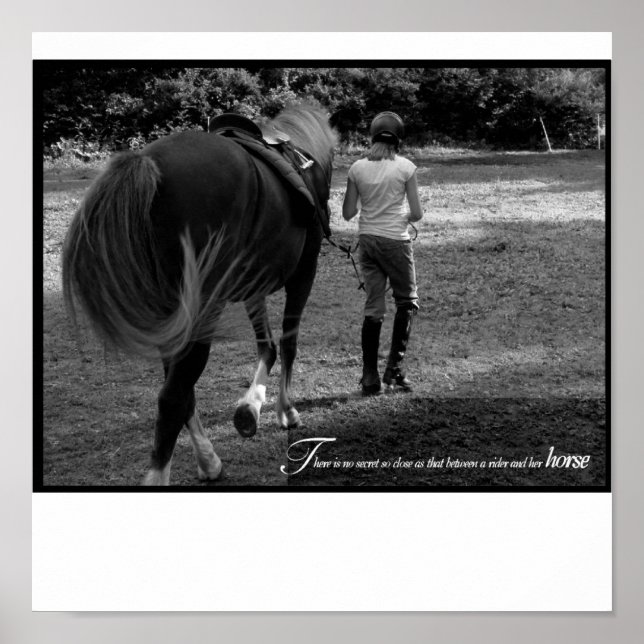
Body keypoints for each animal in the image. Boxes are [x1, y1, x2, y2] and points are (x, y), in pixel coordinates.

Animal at [62, 103, 338, 486]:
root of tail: (150, 164)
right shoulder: (304, 273)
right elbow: (288, 343)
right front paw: (286, 411)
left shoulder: (252, 285)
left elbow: (266, 345)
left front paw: (251, 407)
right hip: (201, 310)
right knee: (173, 397)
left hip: (172, 314)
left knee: (181, 391)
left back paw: (209, 461)